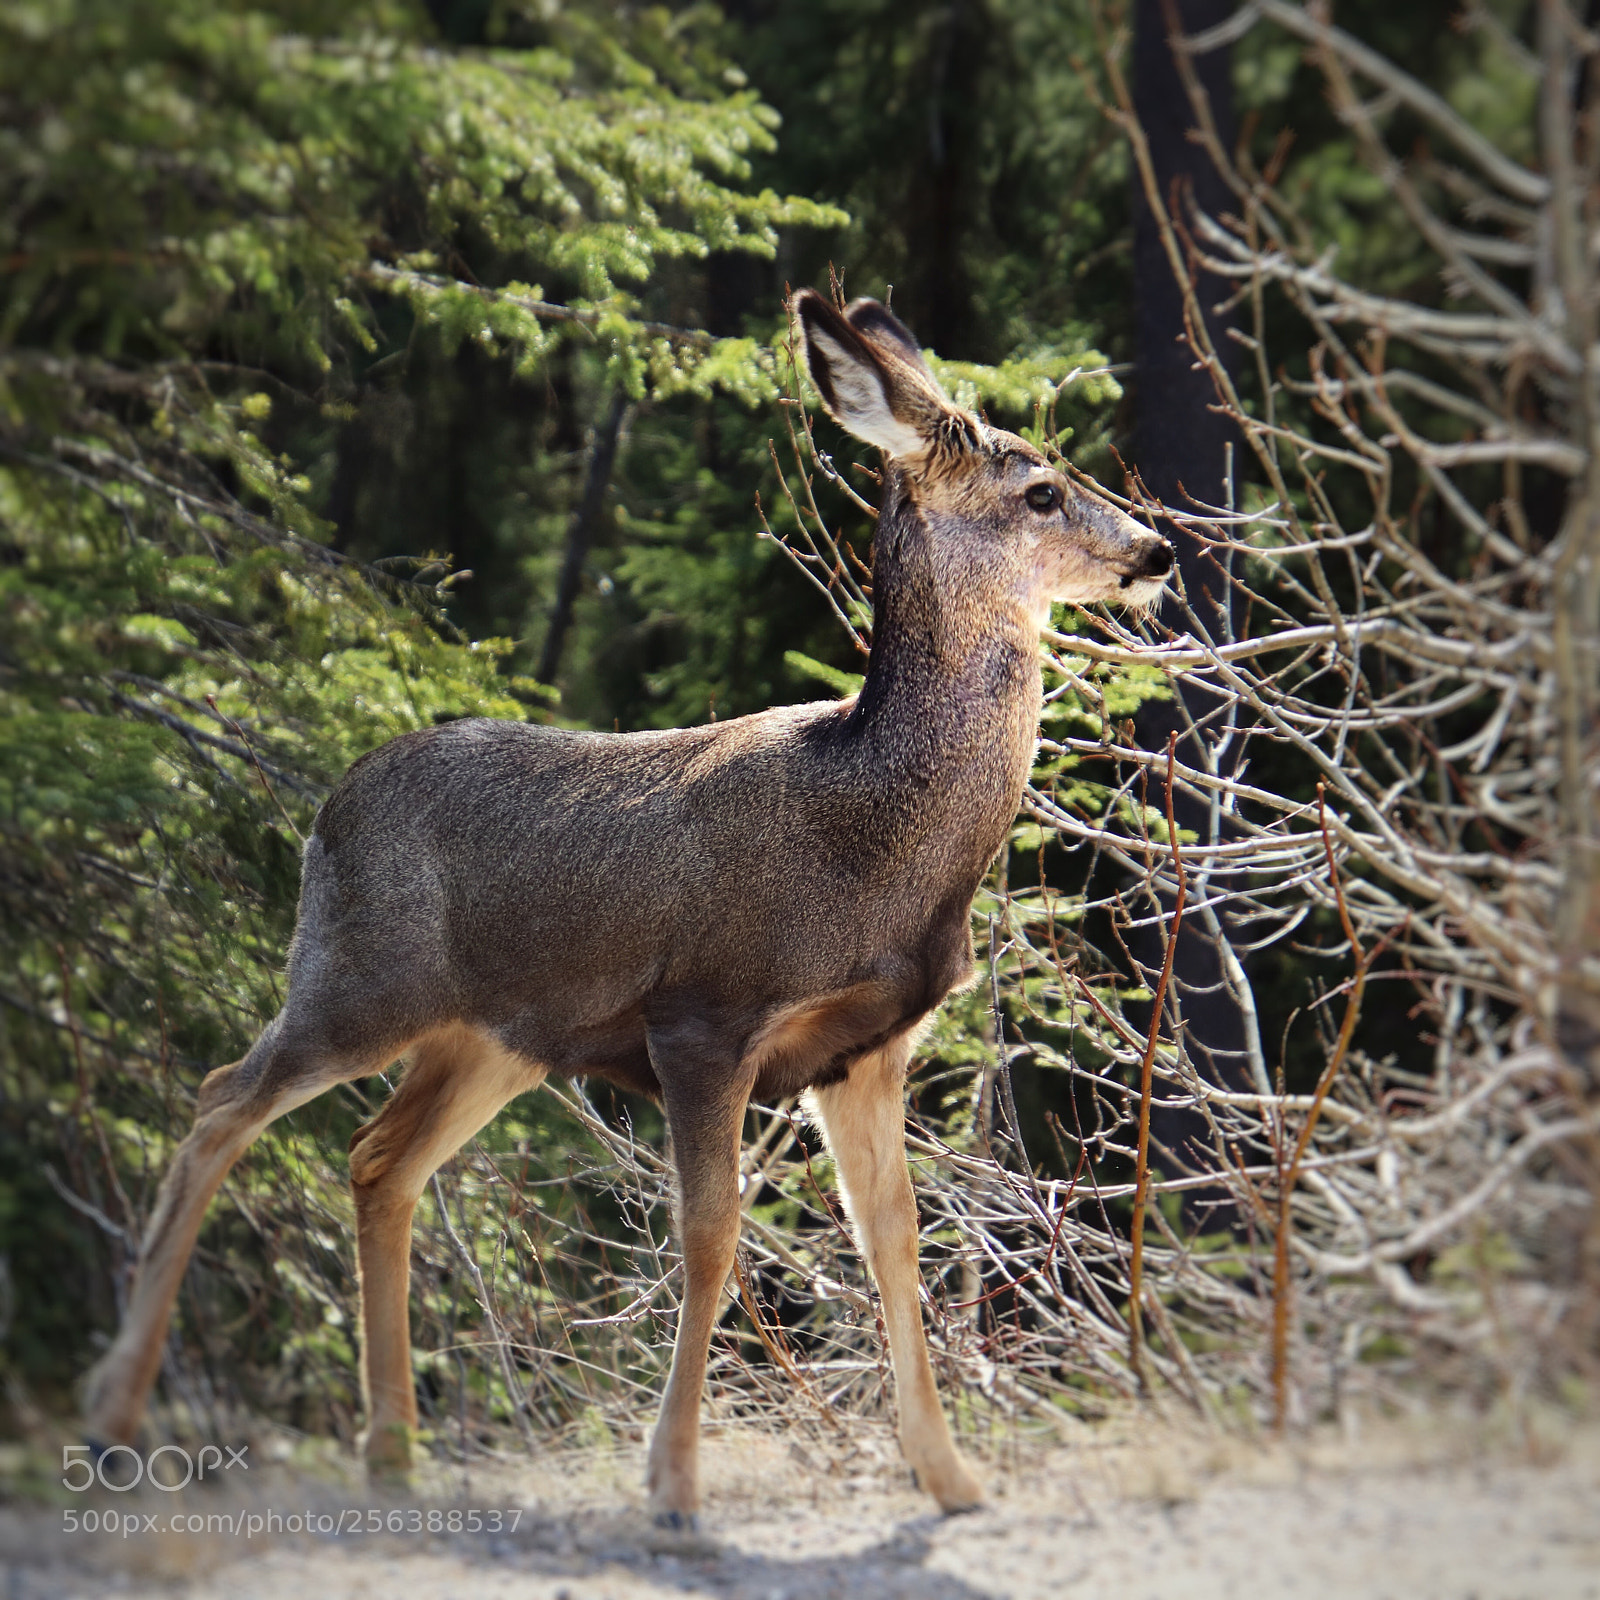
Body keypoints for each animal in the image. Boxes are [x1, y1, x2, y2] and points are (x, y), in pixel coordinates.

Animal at [82, 288, 1172, 1524]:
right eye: (1040, 489)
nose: (1156, 550)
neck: (873, 838)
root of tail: (329, 806)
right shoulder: (703, 1015)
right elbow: (710, 1236)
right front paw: (674, 1478)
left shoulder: (866, 1048)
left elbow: (894, 1238)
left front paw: (949, 1477)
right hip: (357, 978)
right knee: (219, 1099)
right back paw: (117, 1410)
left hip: (496, 1039)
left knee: (375, 1157)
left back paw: (392, 1447)